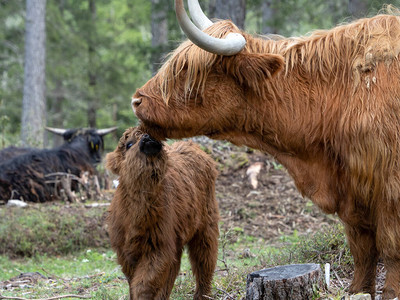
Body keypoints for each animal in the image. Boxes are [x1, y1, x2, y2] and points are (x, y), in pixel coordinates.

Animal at [105, 127, 219, 300]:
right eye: (129, 144)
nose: (148, 137)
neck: (136, 221)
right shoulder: (125, 252)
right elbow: (133, 281)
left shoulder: (158, 246)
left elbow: (144, 284)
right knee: (176, 267)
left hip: (206, 225)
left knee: (204, 262)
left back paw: (203, 296)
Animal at [133, 1, 400, 298]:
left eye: (188, 71)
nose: (137, 100)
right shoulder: (354, 190)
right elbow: (362, 248)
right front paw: (357, 290)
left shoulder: (389, 187)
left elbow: (390, 247)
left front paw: (391, 292)